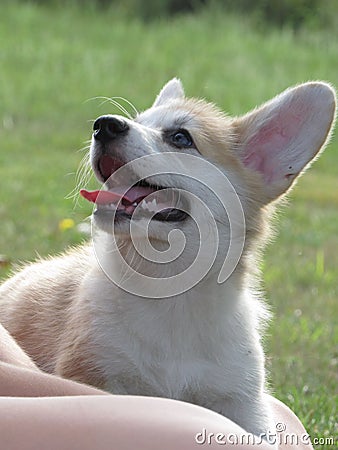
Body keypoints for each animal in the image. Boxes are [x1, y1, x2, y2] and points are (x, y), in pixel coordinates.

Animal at [0, 78, 336, 440]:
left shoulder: (242, 404)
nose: (103, 125)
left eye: (180, 137)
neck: (169, 291)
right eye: (140, 120)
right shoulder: (98, 376)